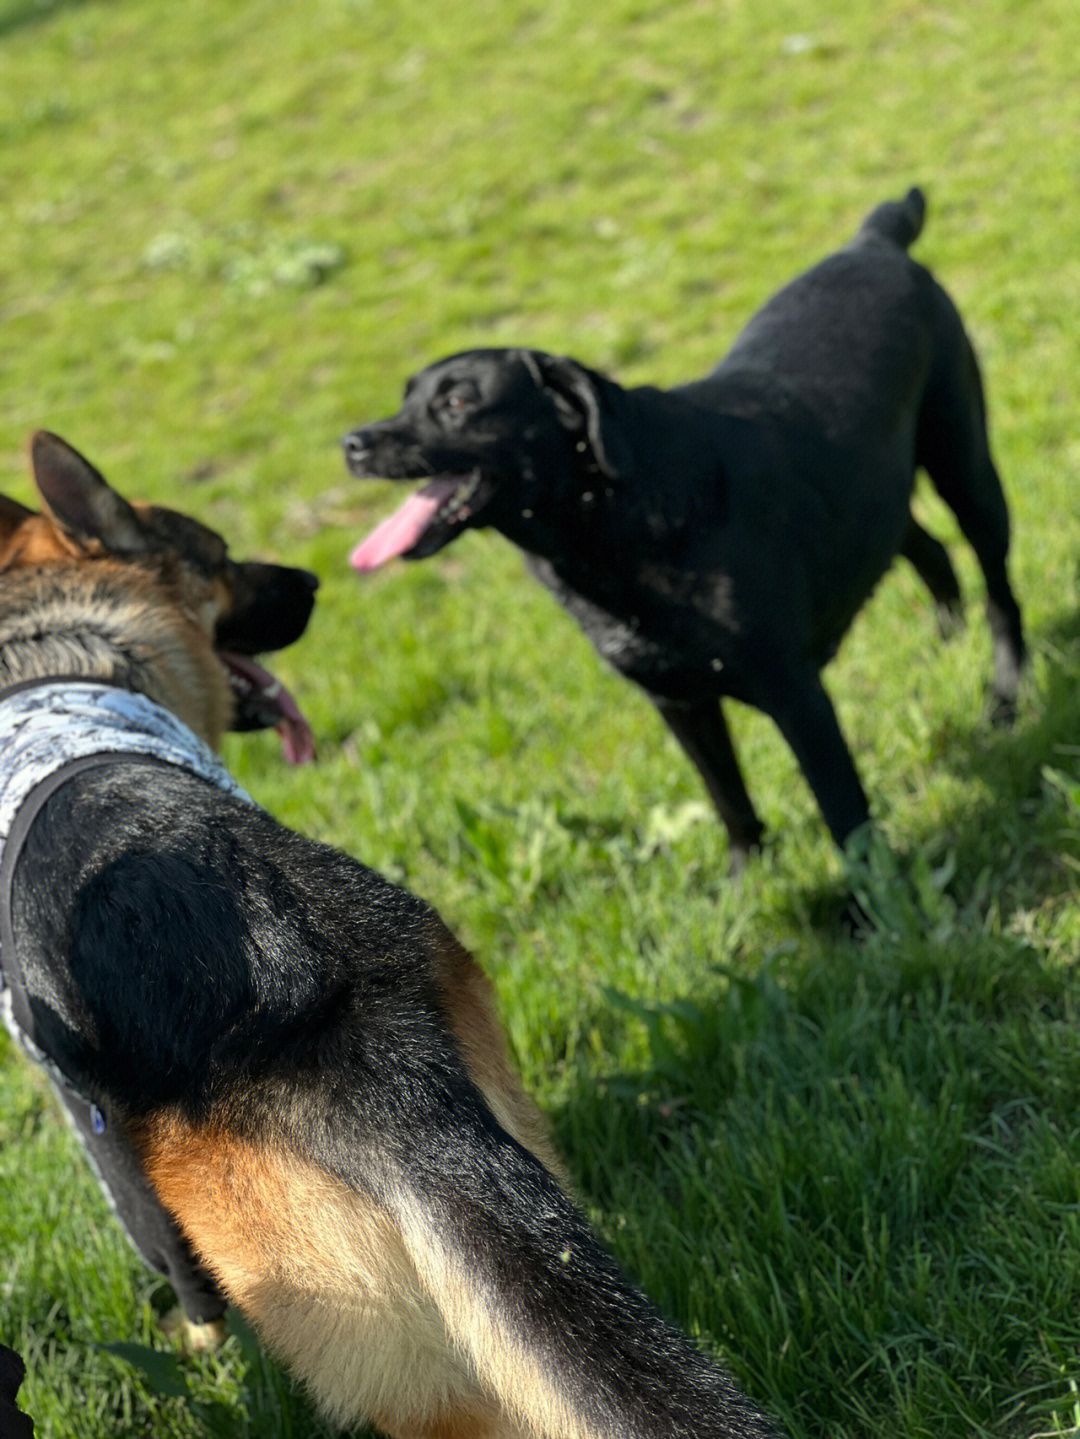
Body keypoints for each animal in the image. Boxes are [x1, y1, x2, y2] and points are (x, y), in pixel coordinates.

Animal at [0, 431, 776, 1433]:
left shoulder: (96, 1128)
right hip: (507, 1170)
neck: (65, 653)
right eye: (224, 554)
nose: (312, 580)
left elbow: (176, 1270)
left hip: (378, 1349)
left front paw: (197, 1340)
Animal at [343, 188, 1023, 863]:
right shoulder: (677, 700)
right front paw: (749, 877)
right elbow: (728, 797)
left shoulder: (793, 690)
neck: (610, 522)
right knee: (925, 546)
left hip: (966, 469)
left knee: (999, 590)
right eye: (405, 398)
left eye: (458, 402)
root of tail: (872, 242)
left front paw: (872, 890)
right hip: (872, 495)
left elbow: (844, 813)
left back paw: (1006, 695)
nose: (352, 443)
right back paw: (946, 640)